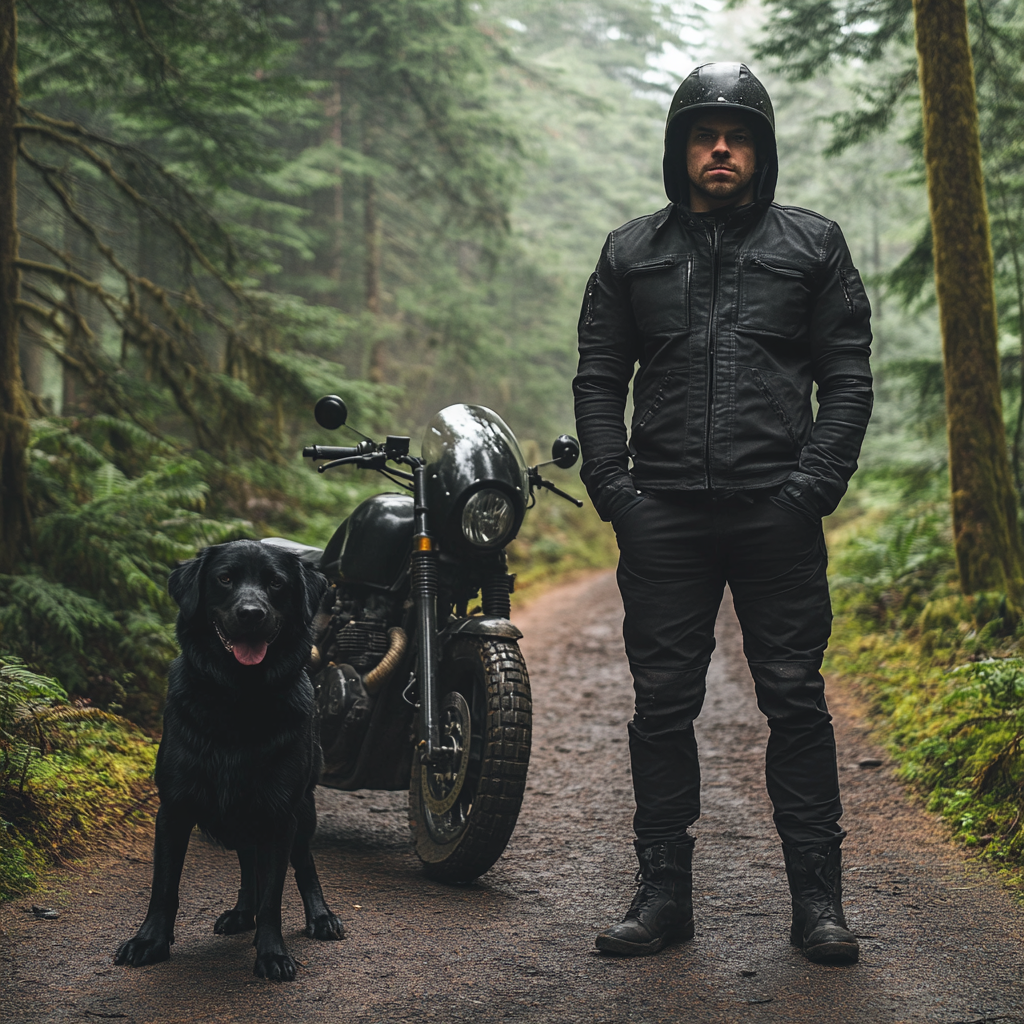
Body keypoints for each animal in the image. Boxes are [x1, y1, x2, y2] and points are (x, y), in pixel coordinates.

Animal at [114, 540, 342, 978]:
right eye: (224, 578)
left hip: (302, 813)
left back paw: (321, 917)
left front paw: (272, 954)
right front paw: (149, 942)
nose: (251, 614)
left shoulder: (280, 815)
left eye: (276, 583)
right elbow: (164, 887)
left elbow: (274, 895)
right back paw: (240, 914)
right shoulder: (174, 809)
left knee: (304, 865)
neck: (240, 697)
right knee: (248, 865)